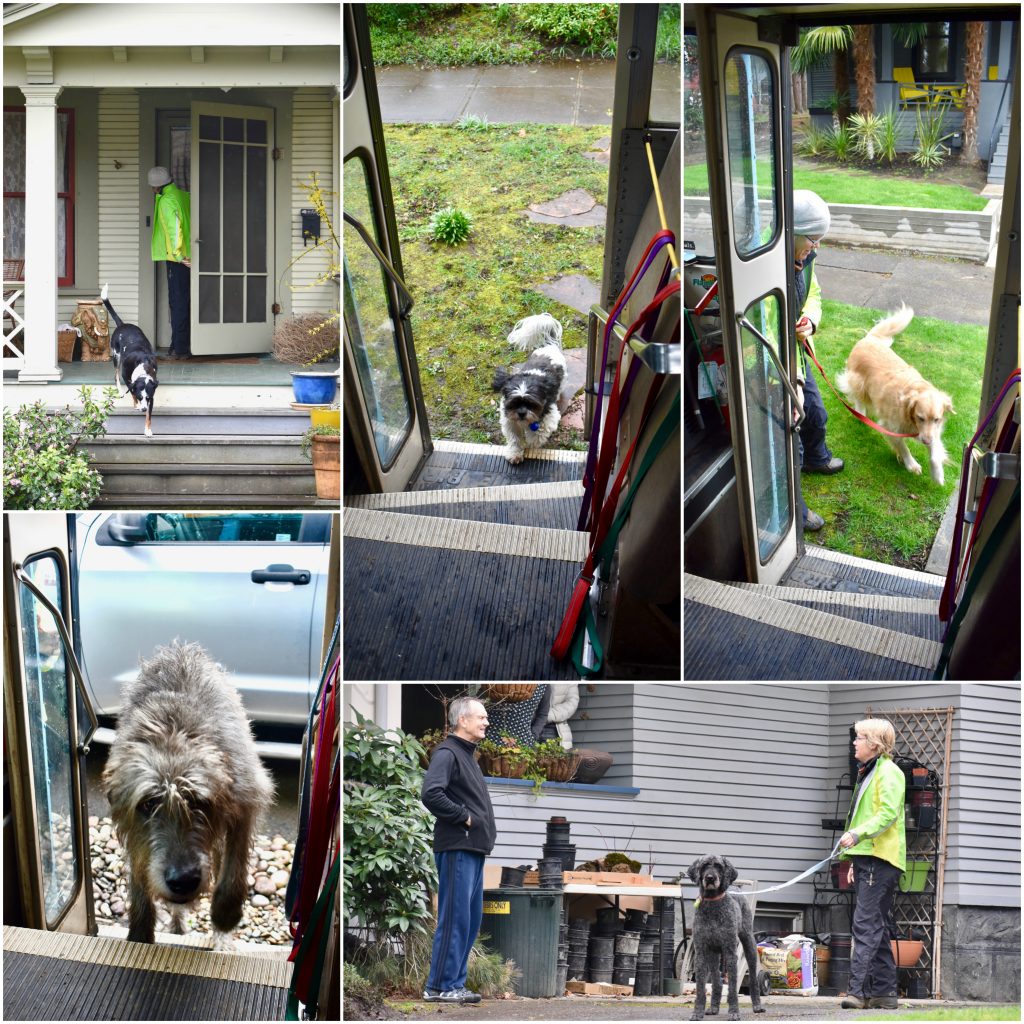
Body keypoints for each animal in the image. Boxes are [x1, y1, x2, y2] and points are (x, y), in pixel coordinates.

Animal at [101, 282, 158, 438]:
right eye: (140, 397)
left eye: (147, 398)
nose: (143, 409)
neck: (143, 365)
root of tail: (122, 324)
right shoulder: (127, 377)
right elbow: (131, 391)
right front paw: (136, 404)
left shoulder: (152, 396)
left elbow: (149, 416)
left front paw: (148, 430)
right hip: (116, 357)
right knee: (115, 375)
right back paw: (120, 391)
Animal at [102, 643, 276, 946]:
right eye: (148, 804)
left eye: (198, 802)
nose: (183, 880)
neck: (172, 731)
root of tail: (180, 647)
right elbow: (138, 866)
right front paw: (140, 930)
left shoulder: (247, 793)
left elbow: (235, 860)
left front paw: (226, 913)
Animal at [489, 311, 569, 464]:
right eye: (514, 403)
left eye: (532, 404)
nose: (521, 413)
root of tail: (549, 346)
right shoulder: (510, 421)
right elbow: (514, 439)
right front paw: (514, 453)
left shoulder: (550, 416)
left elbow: (538, 434)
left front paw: (531, 442)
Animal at [688, 851, 770, 1019]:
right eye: (704, 865)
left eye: (719, 866)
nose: (710, 878)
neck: (713, 904)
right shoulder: (701, 952)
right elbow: (700, 987)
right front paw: (698, 1012)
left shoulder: (731, 952)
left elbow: (732, 987)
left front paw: (733, 1012)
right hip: (713, 955)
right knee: (717, 982)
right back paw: (713, 1007)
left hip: (749, 946)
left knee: (753, 978)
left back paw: (757, 1005)